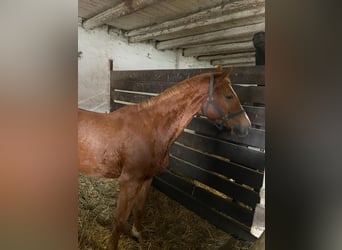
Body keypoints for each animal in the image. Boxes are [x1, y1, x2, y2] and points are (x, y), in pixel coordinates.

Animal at [79, 65, 251, 249]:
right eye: (229, 96)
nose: (247, 126)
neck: (150, 127)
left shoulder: (147, 179)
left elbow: (139, 210)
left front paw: (138, 236)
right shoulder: (129, 182)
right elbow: (119, 220)